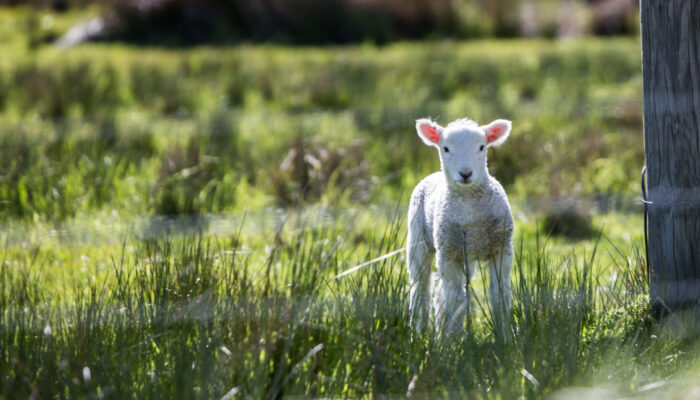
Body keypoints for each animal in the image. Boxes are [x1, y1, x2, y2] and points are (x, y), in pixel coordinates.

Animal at [404, 117, 516, 336]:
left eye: (482, 147)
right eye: (446, 148)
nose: (465, 173)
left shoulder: (501, 248)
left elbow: (499, 295)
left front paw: (505, 337)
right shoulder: (448, 253)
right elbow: (456, 300)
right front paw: (454, 340)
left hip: (466, 255)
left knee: (441, 291)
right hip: (418, 240)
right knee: (421, 289)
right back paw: (419, 332)